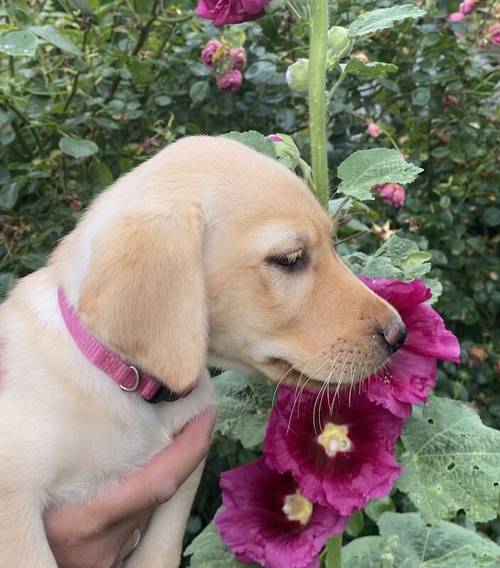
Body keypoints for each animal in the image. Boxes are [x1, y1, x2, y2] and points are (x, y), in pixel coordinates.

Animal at [0, 138, 406, 568]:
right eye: (290, 259)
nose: (401, 334)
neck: (130, 386)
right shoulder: (14, 502)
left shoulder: (177, 496)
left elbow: (160, 555)